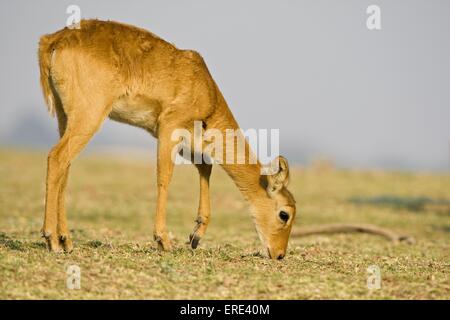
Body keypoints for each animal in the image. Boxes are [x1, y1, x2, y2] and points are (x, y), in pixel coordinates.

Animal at [38, 19, 298, 260]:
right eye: (284, 214)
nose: (279, 254)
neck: (206, 91)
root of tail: (52, 40)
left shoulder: (185, 141)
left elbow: (206, 166)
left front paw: (195, 235)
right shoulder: (168, 128)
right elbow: (164, 177)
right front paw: (163, 240)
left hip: (65, 117)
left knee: (65, 167)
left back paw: (65, 239)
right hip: (89, 117)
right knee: (57, 157)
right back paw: (52, 239)